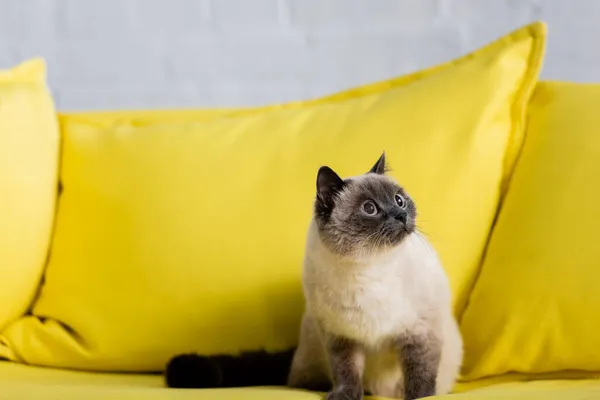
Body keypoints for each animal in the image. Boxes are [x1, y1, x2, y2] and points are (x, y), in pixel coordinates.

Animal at [165, 153, 464, 400]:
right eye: (370, 208)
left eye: (399, 200)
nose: (400, 215)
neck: (368, 267)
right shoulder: (340, 336)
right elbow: (346, 371)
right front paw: (344, 396)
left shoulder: (419, 332)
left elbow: (420, 375)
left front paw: (422, 398)